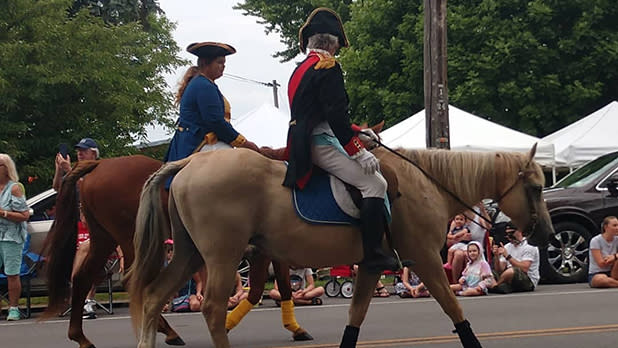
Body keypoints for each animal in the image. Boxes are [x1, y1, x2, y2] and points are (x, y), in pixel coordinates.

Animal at [39, 156, 308, 348]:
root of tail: (100, 164)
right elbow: (266, 287)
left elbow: (271, 287)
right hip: (132, 240)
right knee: (134, 282)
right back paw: (165, 330)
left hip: (103, 238)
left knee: (84, 278)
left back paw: (82, 337)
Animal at [129, 144, 548, 348]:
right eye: (534, 187)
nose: (544, 233)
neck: (425, 183)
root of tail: (188, 164)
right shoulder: (427, 259)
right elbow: (455, 309)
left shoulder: (371, 266)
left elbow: (355, 317)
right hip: (222, 257)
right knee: (213, 310)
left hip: (189, 255)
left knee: (153, 298)